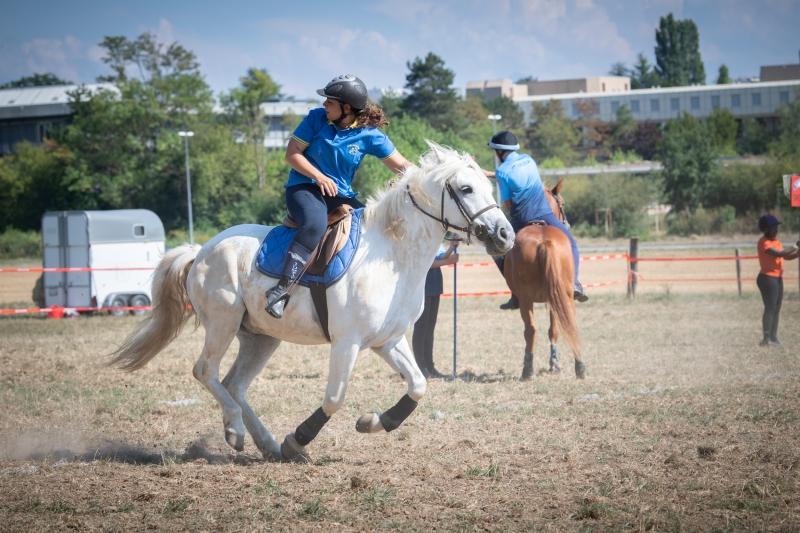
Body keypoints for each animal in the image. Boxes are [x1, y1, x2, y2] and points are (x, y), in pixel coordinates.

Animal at [111, 142, 512, 462]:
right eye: (466, 189)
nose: (505, 235)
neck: (392, 257)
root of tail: (201, 251)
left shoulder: (388, 341)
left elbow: (418, 385)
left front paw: (375, 421)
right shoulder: (348, 343)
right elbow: (334, 397)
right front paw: (298, 439)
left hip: (260, 337)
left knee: (235, 384)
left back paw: (266, 443)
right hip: (223, 324)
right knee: (206, 371)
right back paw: (238, 432)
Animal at [504, 179, 584, 378]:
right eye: (562, 203)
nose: (567, 223)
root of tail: (544, 242)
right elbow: (554, 329)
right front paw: (554, 364)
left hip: (527, 299)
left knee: (530, 330)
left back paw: (527, 370)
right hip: (563, 295)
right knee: (569, 324)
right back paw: (579, 366)